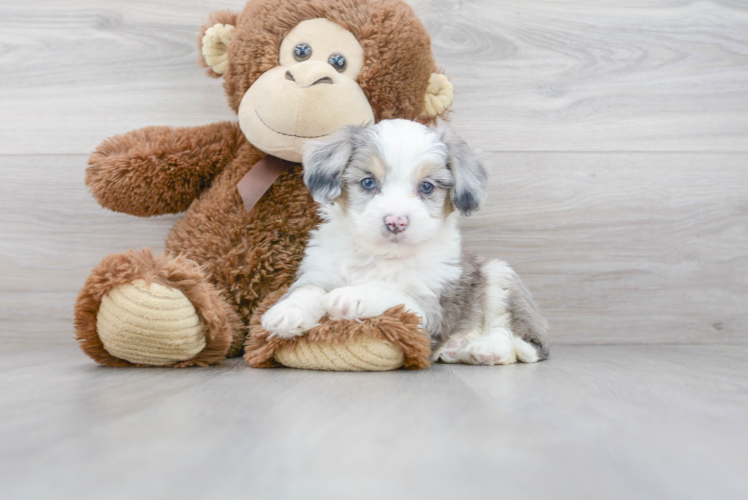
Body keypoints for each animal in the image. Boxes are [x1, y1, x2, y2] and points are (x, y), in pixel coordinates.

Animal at [260, 119, 548, 366]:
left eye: (427, 187)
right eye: (368, 182)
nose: (395, 222)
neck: (381, 256)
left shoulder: (426, 311)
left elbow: (390, 291)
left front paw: (354, 295)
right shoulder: (319, 272)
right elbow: (307, 291)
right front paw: (287, 311)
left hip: (500, 275)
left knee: (522, 339)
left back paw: (487, 348)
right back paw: (457, 347)